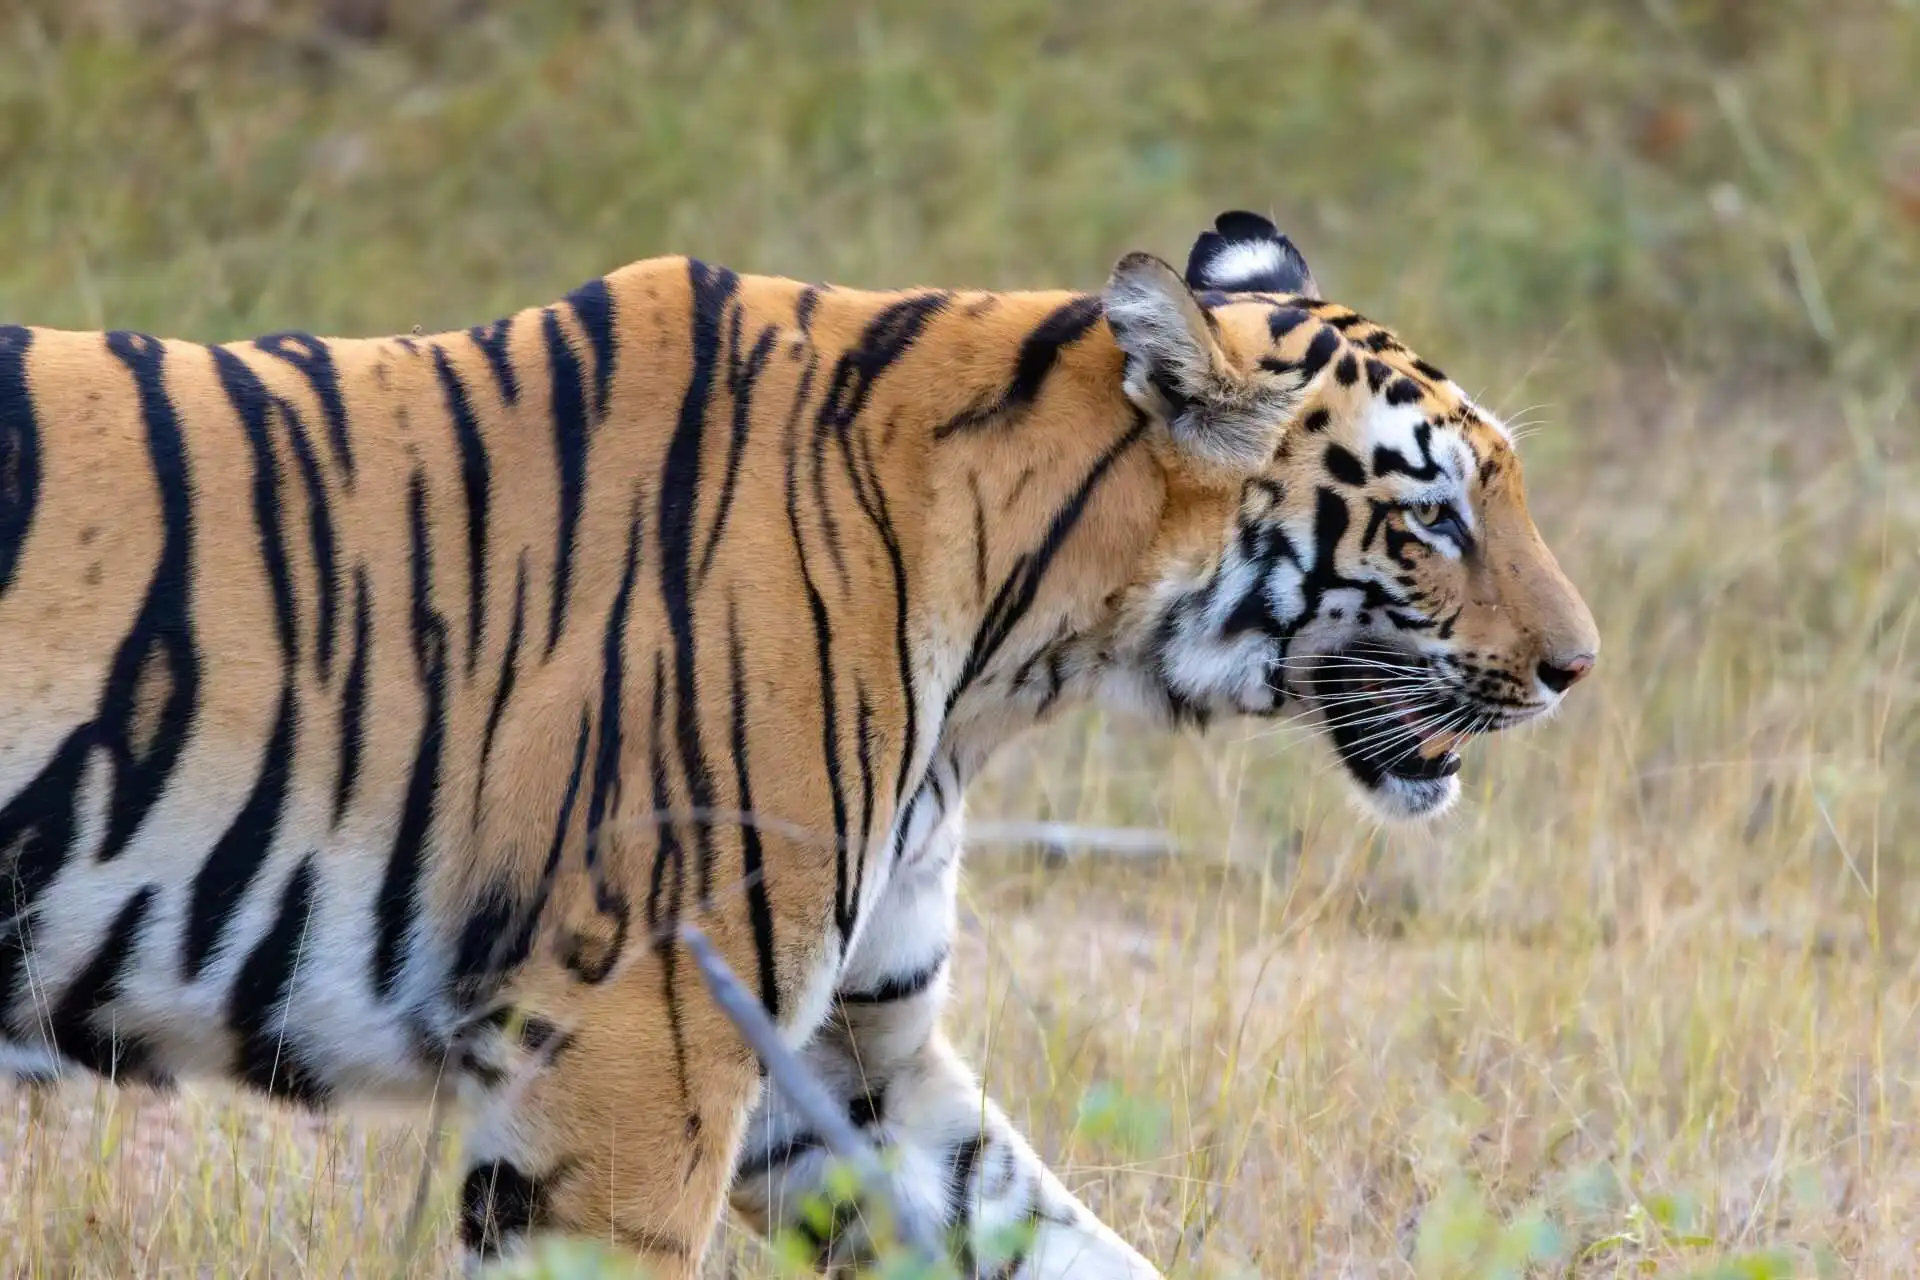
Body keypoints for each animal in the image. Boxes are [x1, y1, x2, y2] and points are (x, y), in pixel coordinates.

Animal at [0, 214, 1589, 1274]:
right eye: (1434, 516)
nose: (1577, 669)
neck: (1015, 651)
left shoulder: (843, 1060)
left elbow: (1052, 1233)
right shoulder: (637, 1045)